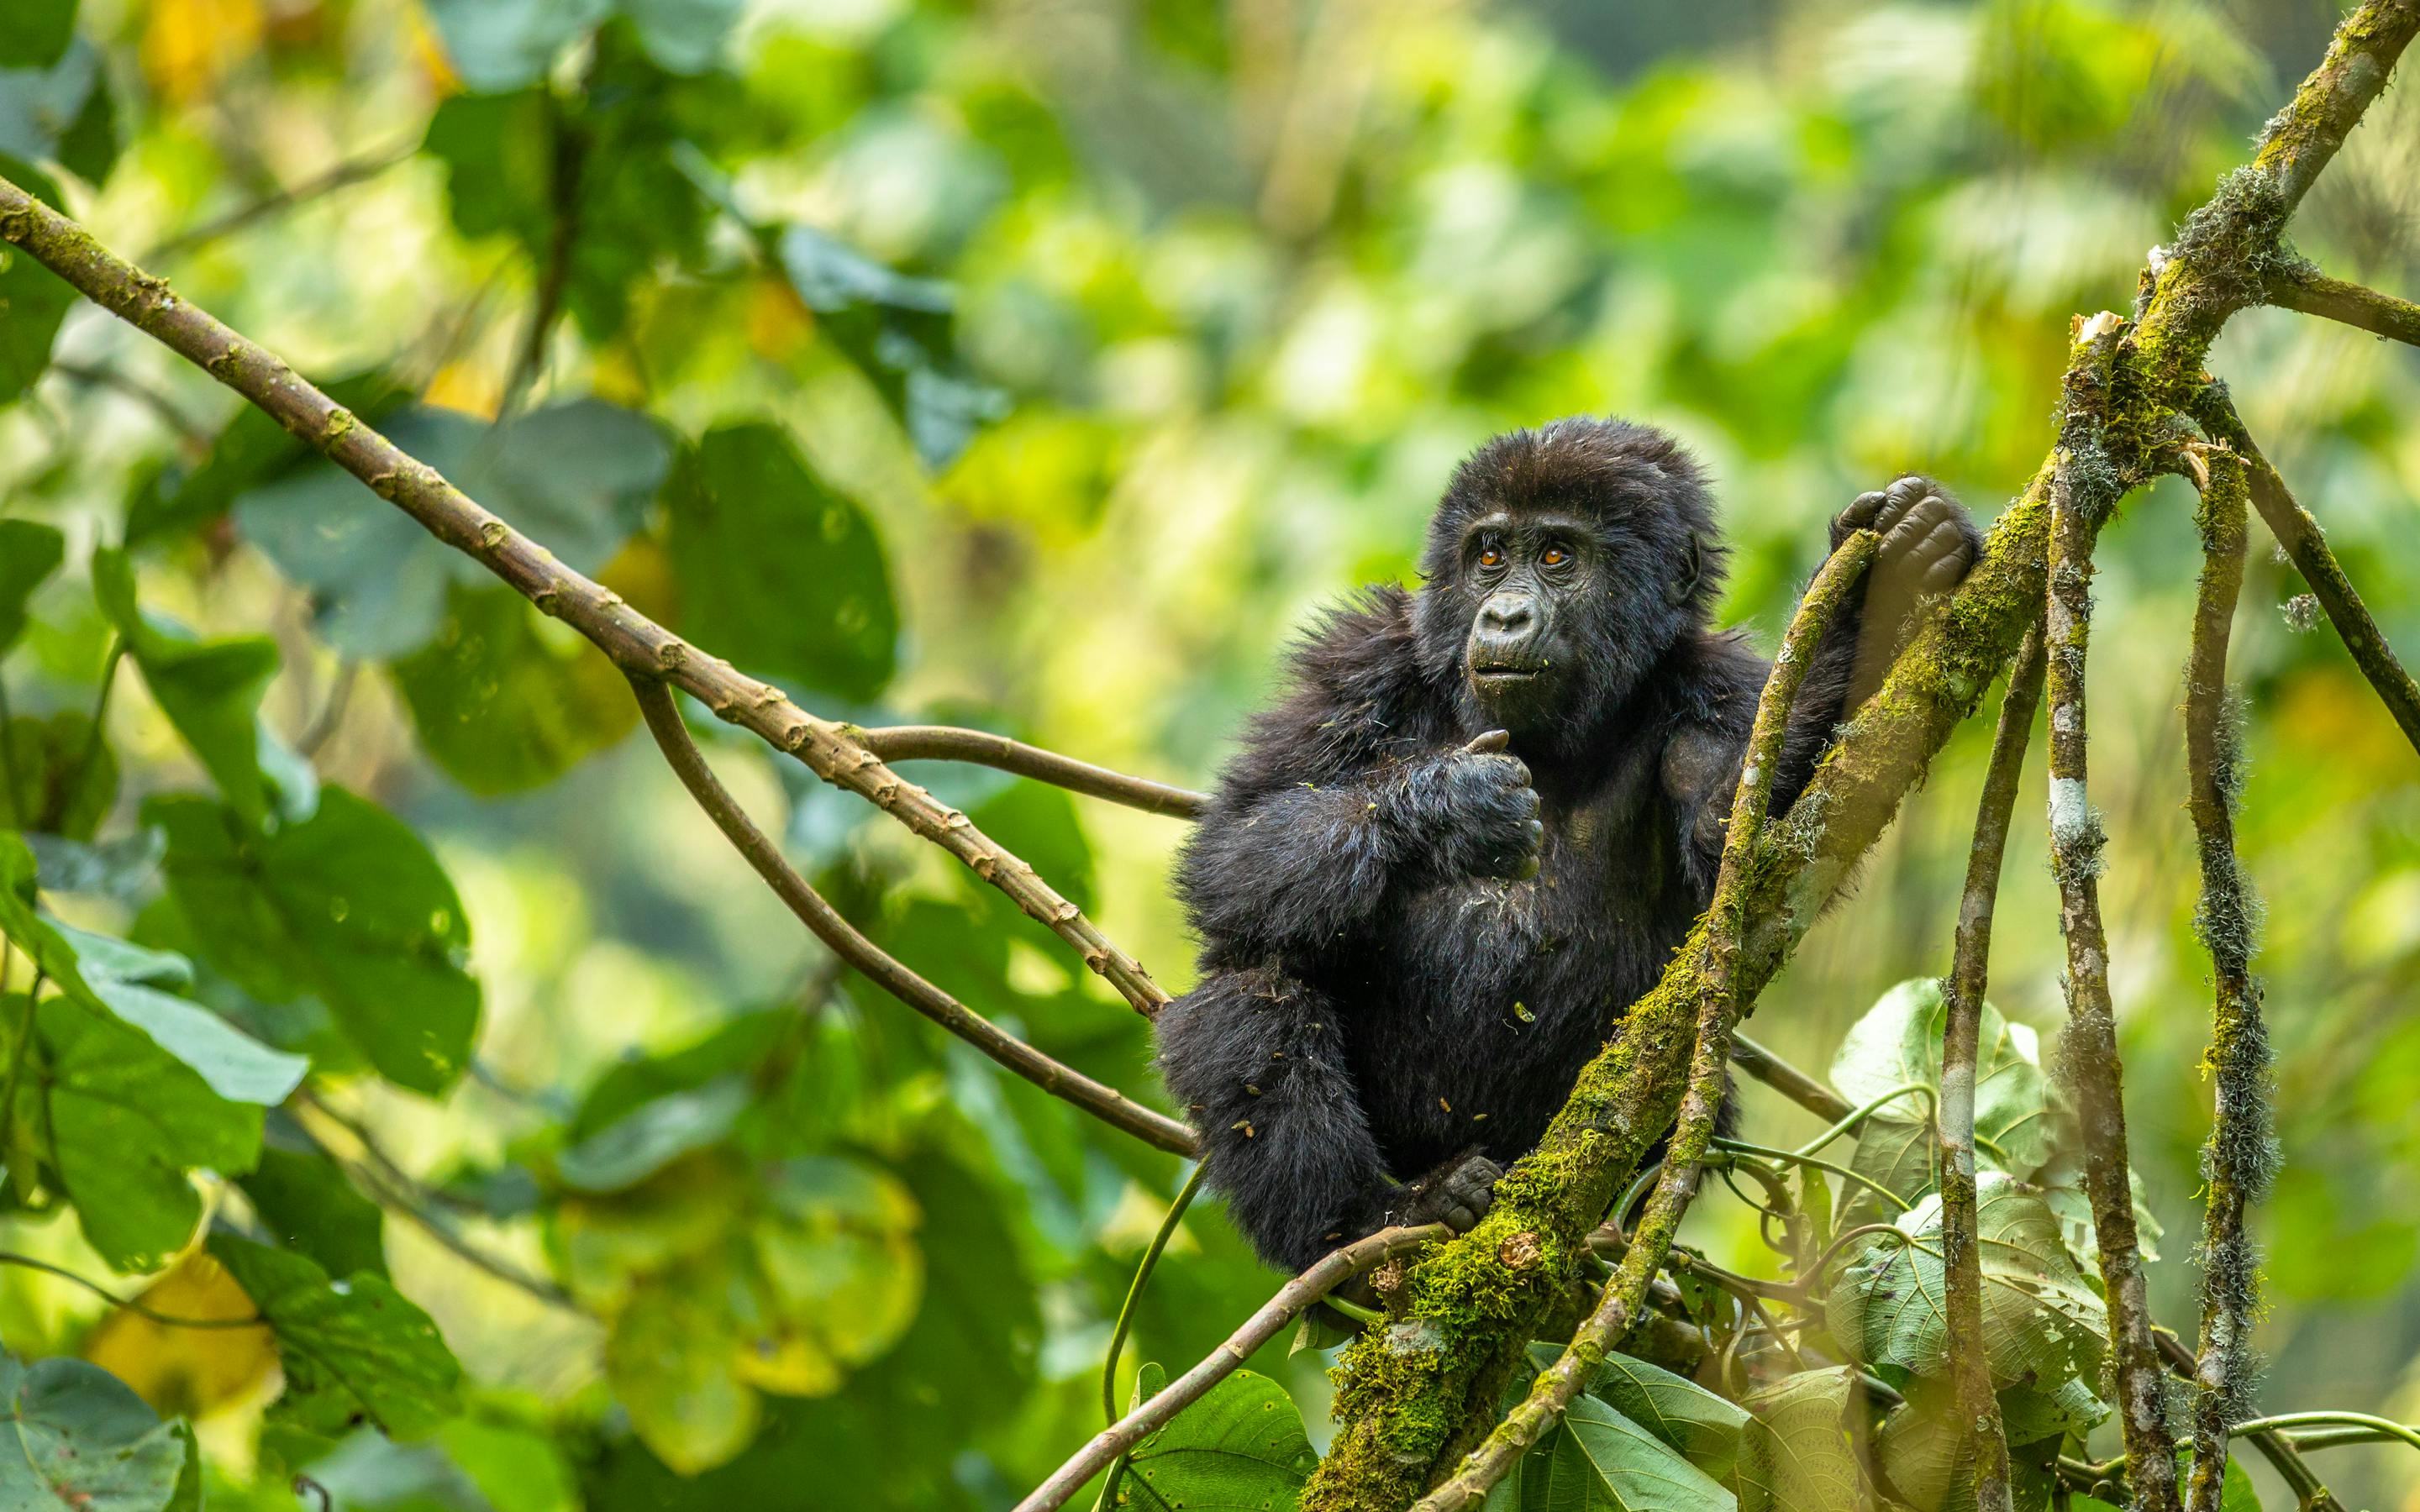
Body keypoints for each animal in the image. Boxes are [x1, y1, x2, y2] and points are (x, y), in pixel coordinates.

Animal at [1154, 417, 1981, 1270]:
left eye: (1557, 557)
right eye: (1489, 556)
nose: (1505, 616)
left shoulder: (1721, 687)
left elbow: (1747, 847)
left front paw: (1870, 599)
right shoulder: (1357, 663)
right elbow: (1235, 846)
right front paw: (1452, 806)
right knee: (1252, 983)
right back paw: (1372, 1218)